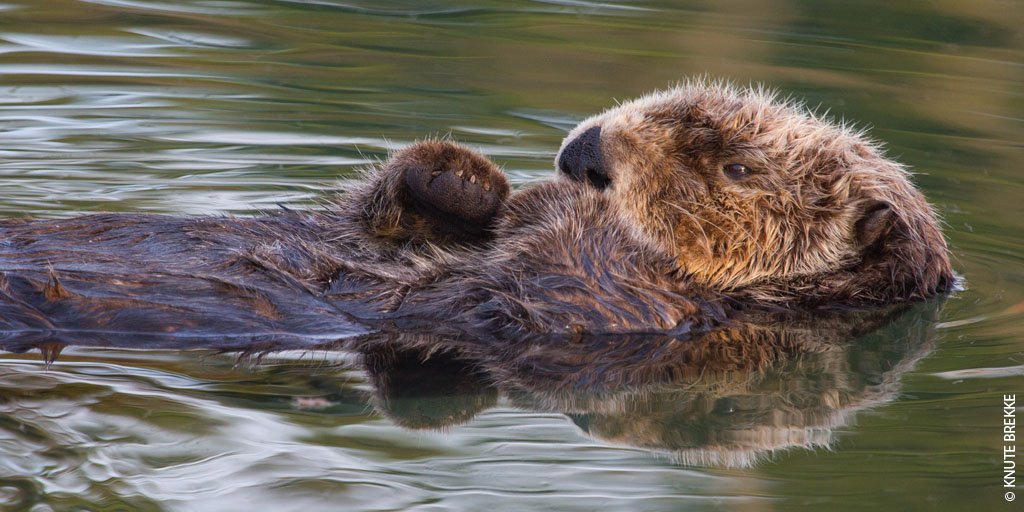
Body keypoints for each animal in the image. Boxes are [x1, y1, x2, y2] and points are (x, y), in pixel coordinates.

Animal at [0, 81, 953, 349]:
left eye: (738, 166)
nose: (587, 150)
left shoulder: (625, 311)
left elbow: (539, 281)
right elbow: (391, 212)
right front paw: (465, 179)